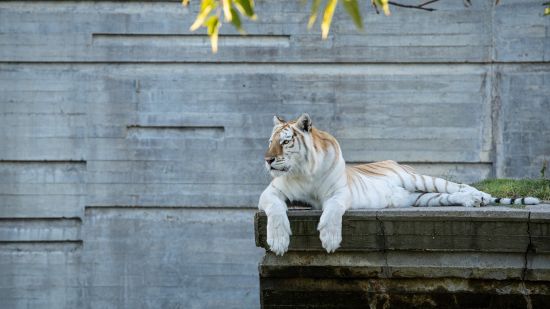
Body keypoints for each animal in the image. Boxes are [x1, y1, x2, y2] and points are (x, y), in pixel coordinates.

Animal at [260, 113, 544, 255]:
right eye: (270, 142)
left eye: (285, 141)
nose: (268, 160)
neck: (303, 171)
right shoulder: (271, 193)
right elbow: (276, 210)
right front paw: (278, 241)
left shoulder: (339, 193)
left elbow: (332, 210)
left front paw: (329, 239)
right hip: (421, 198)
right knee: (453, 196)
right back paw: (472, 201)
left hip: (423, 179)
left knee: (461, 186)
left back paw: (481, 196)